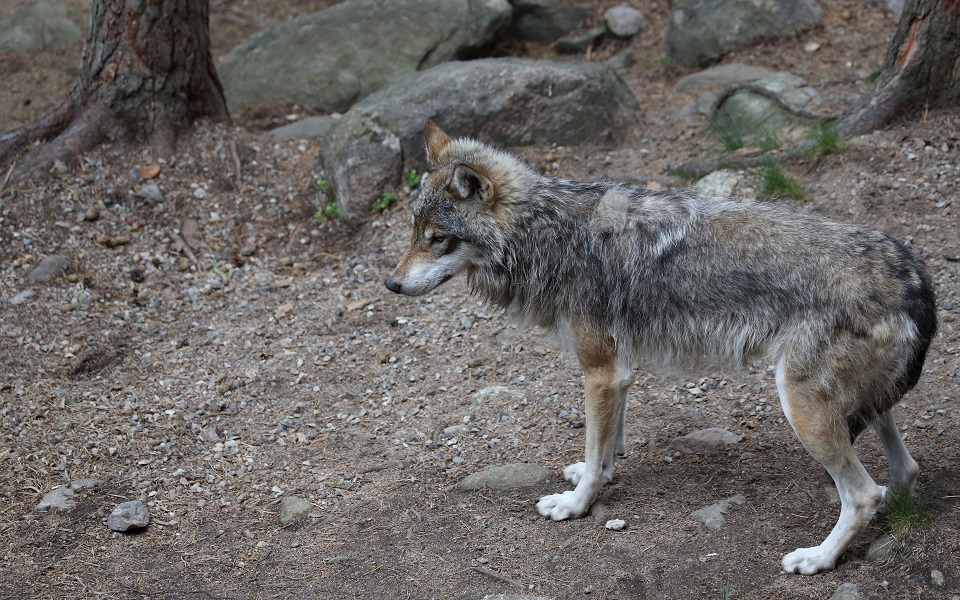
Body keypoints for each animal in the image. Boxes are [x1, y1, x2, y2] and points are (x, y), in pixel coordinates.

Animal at [384, 120, 936, 572]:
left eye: (438, 238)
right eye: (414, 231)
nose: (391, 284)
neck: (548, 231)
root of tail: (915, 275)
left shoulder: (600, 369)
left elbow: (596, 446)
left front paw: (574, 504)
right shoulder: (618, 371)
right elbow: (607, 444)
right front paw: (597, 473)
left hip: (802, 405)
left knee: (862, 493)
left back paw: (818, 558)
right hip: (860, 404)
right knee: (902, 470)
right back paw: (889, 511)